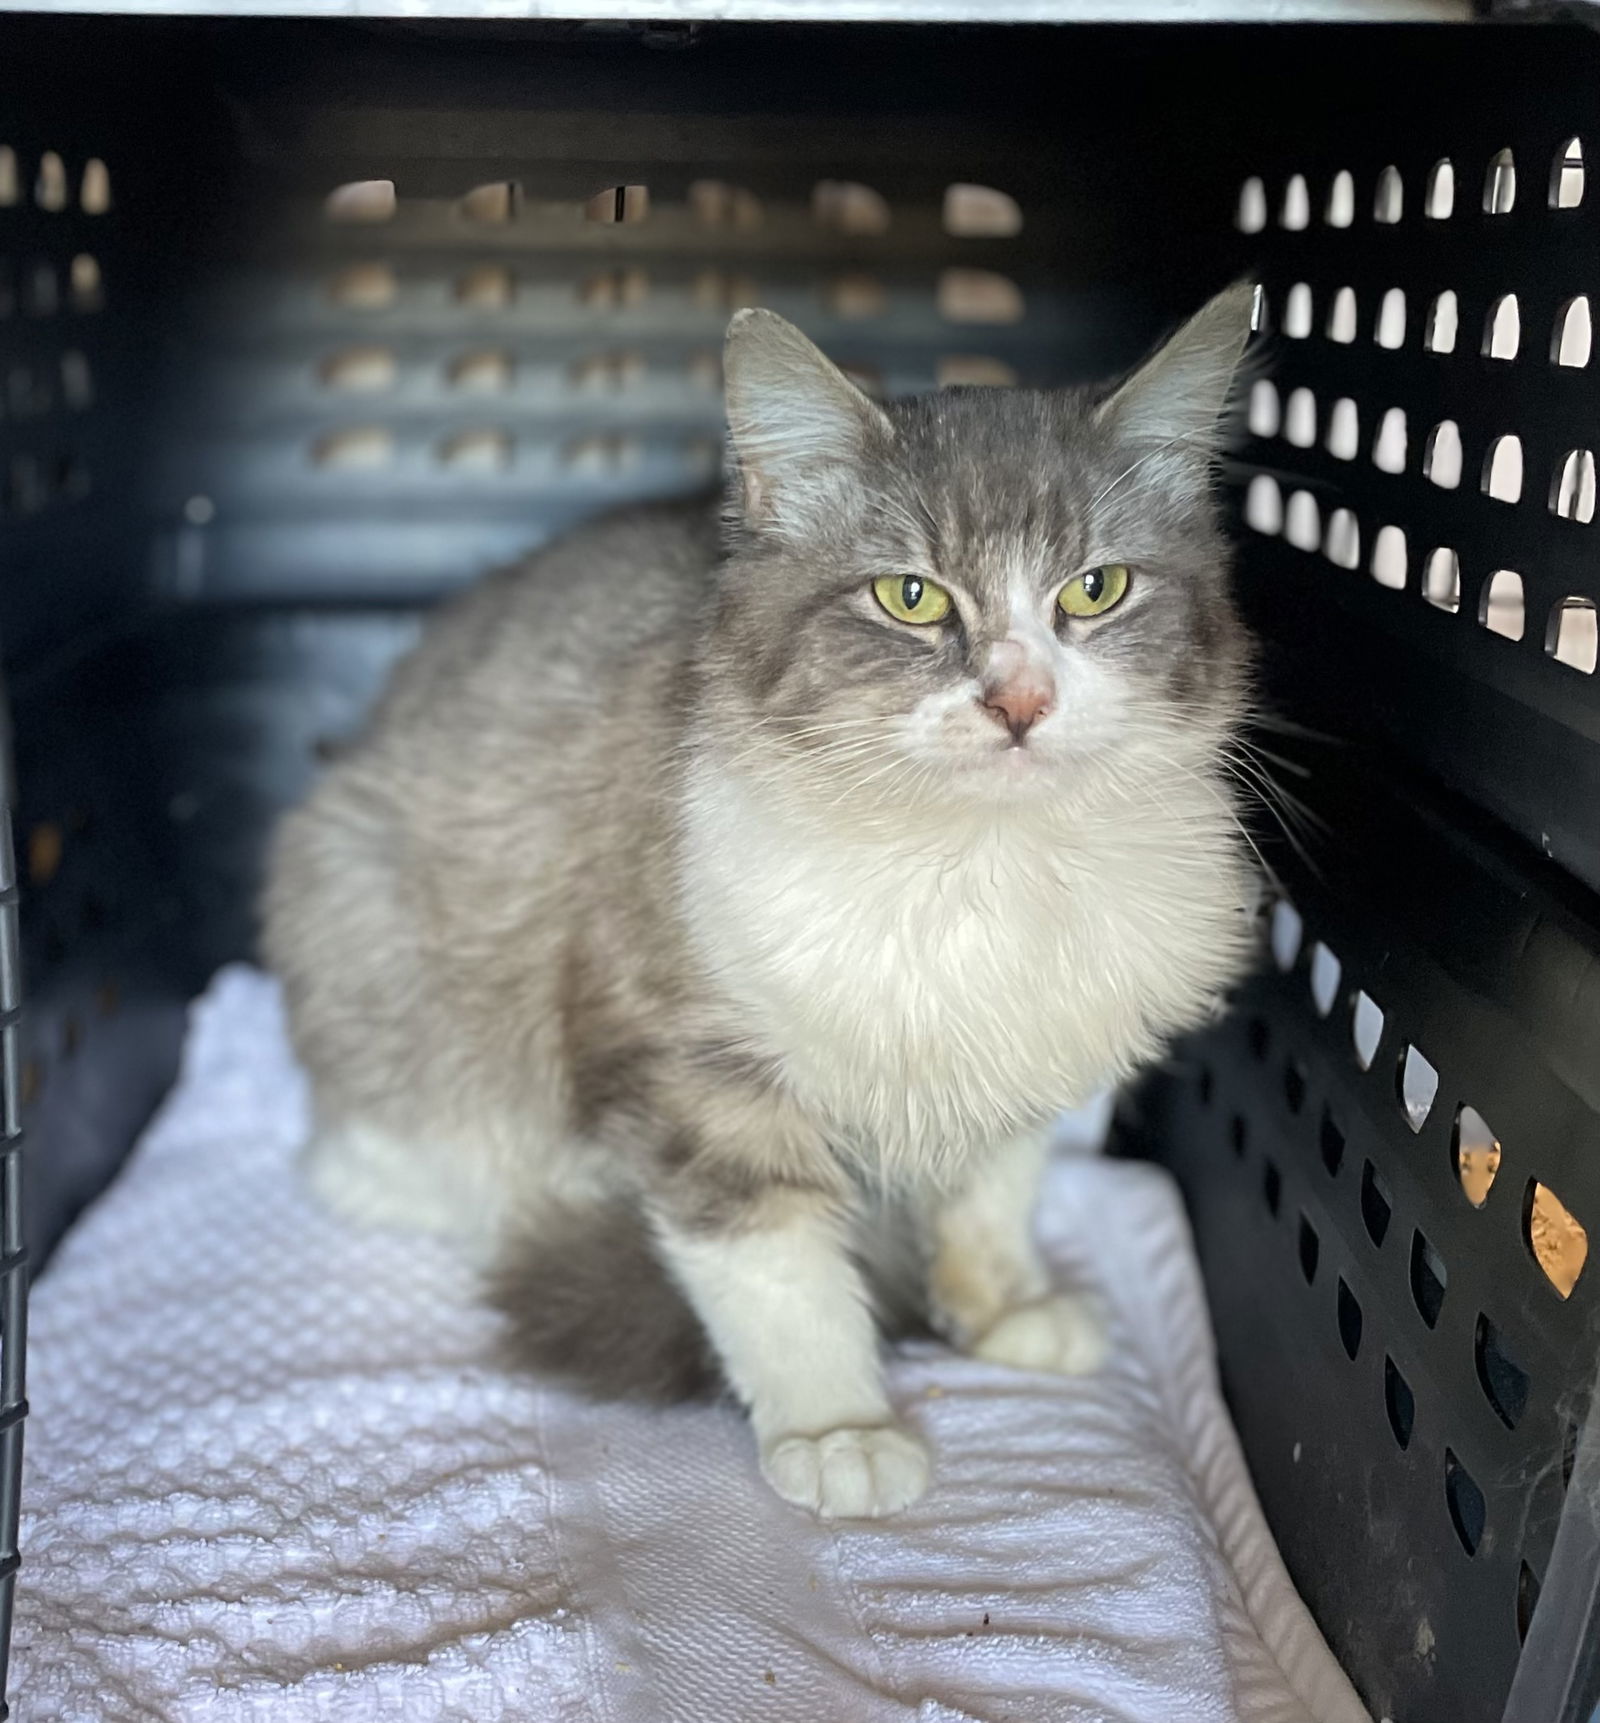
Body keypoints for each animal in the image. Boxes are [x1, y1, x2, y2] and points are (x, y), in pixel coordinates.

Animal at [261, 282, 1260, 1523]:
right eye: (910, 596)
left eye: (1096, 587)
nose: (1021, 700)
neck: (978, 860)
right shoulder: (696, 1070)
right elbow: (777, 1271)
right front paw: (840, 1428)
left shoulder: (1024, 1052)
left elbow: (992, 1195)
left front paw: (1003, 1304)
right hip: (376, 944)